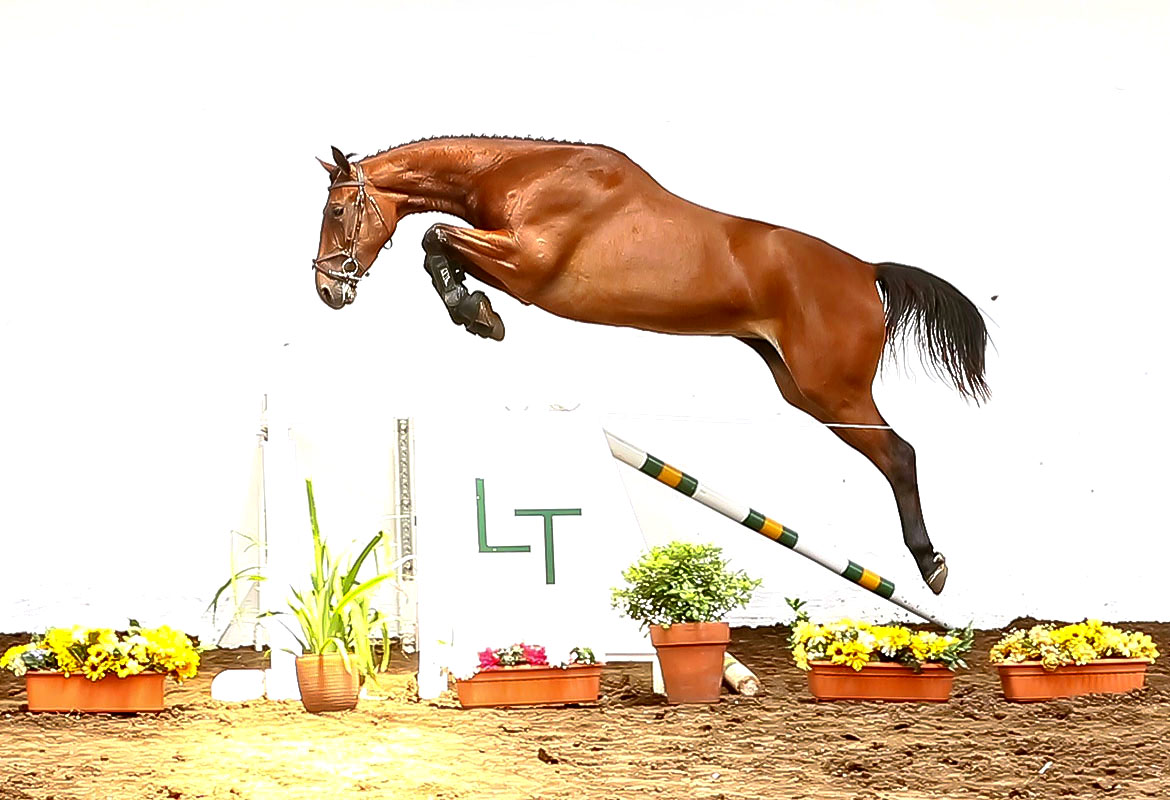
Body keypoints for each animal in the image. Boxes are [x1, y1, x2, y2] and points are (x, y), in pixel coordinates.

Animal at [311, 136, 989, 595]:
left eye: (338, 212)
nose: (326, 289)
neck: (521, 173)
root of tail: (866, 271)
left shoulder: (527, 263)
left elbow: (436, 238)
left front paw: (475, 313)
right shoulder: (511, 264)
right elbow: (440, 247)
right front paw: (477, 311)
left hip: (835, 392)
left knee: (899, 455)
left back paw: (931, 564)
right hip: (802, 390)